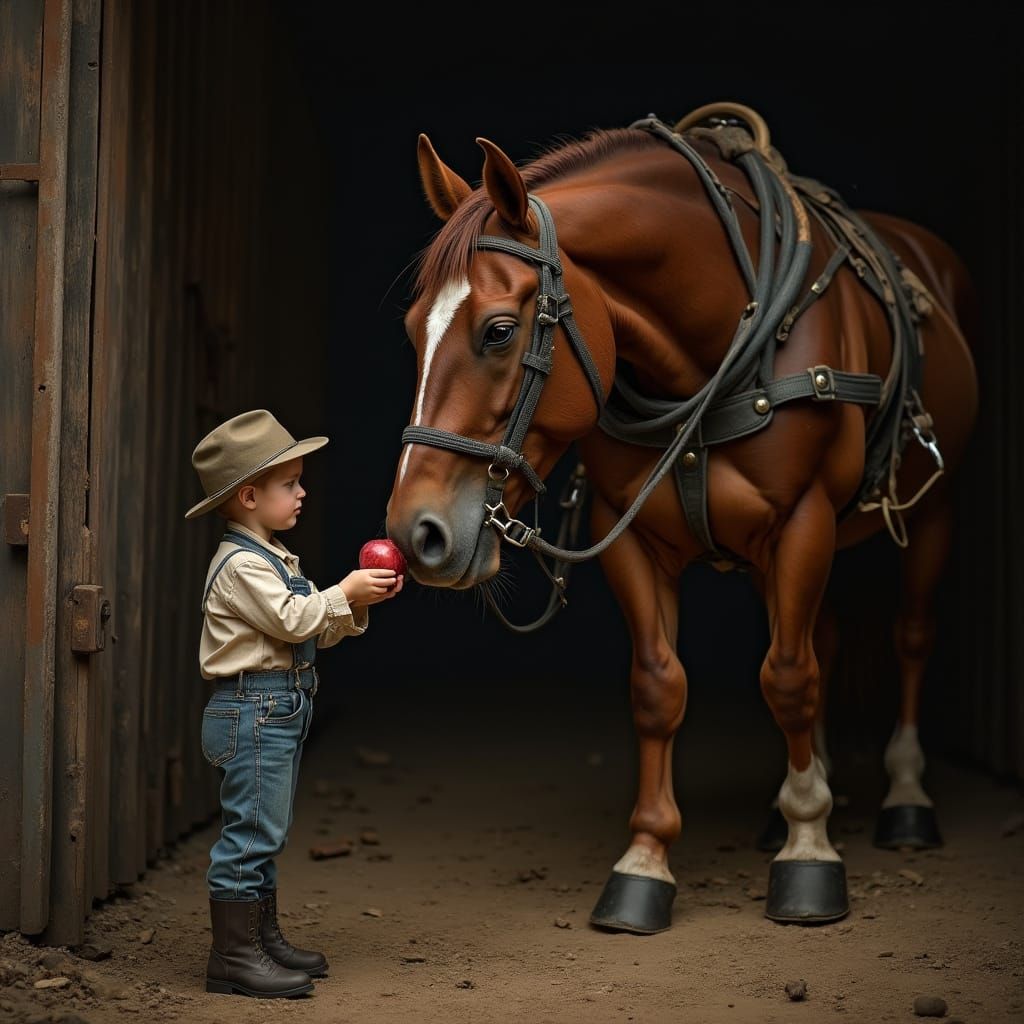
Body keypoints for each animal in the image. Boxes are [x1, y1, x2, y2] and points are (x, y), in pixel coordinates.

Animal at [382, 105, 974, 937]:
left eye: (498, 330)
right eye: (413, 330)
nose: (417, 533)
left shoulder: (803, 523)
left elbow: (789, 678)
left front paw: (810, 851)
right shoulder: (632, 536)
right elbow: (660, 687)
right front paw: (645, 862)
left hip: (933, 513)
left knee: (909, 638)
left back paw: (906, 799)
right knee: (819, 639)